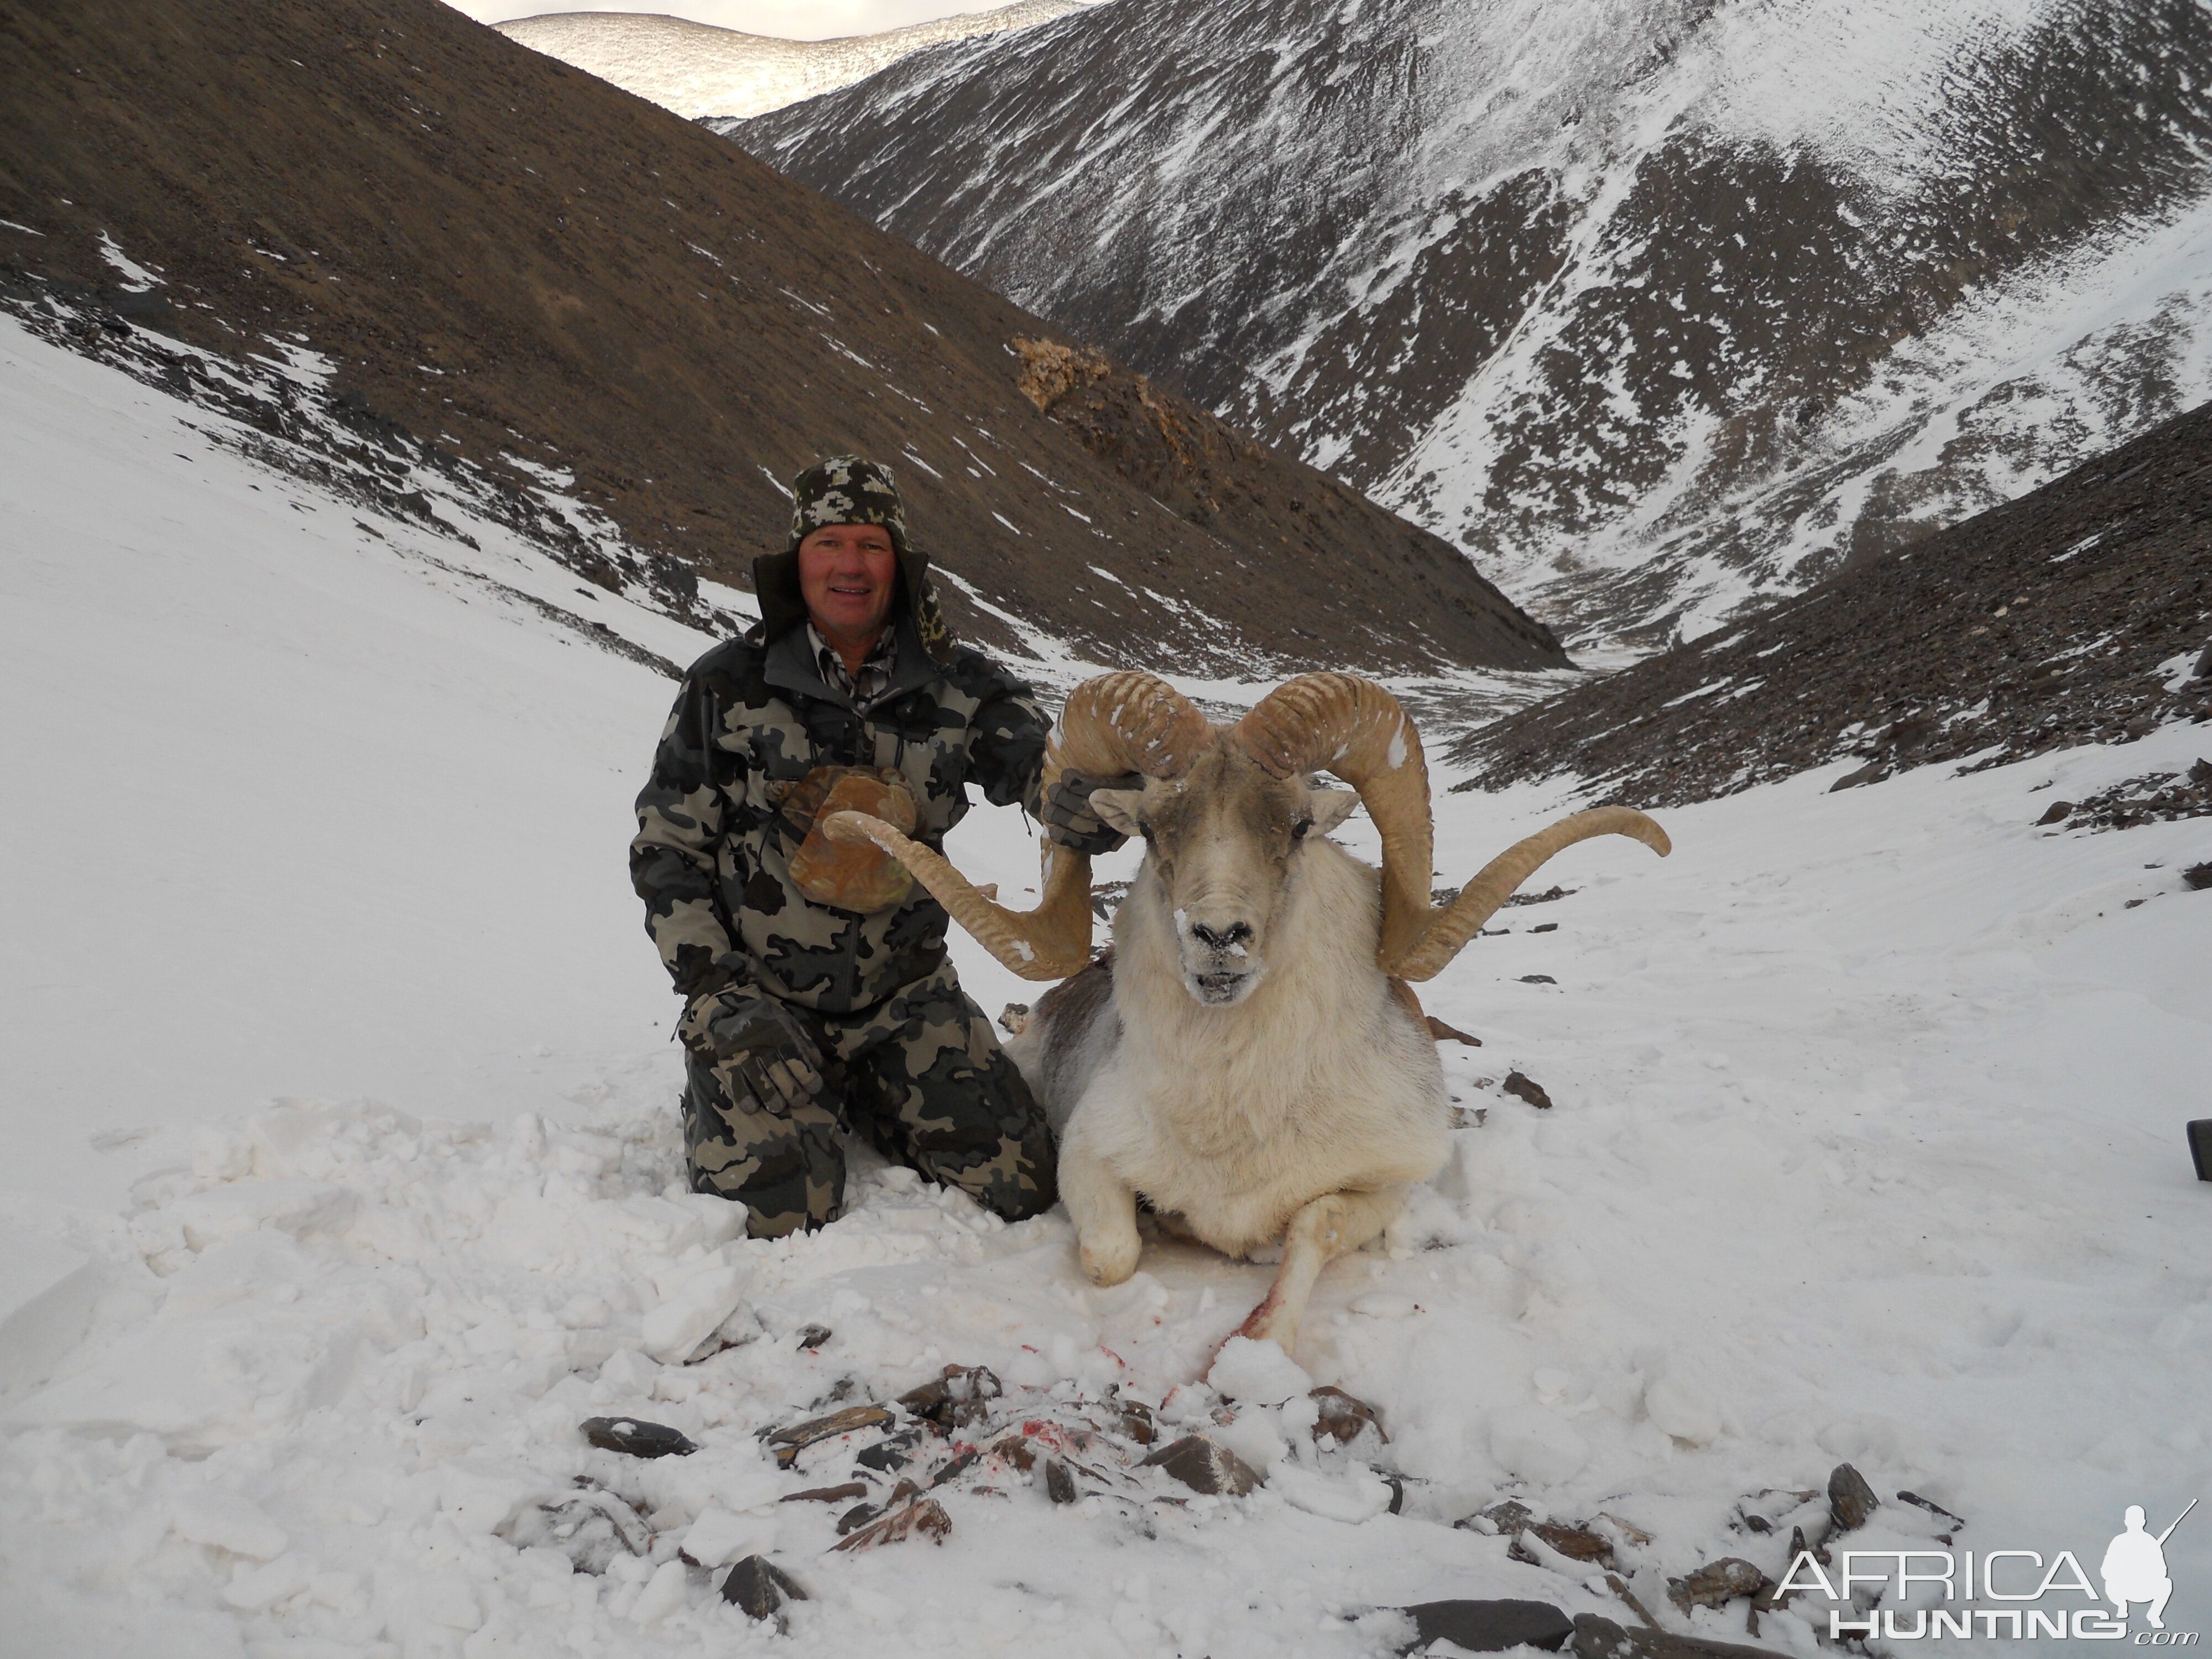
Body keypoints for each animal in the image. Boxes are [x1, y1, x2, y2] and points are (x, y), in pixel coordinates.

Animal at [823, 677, 1663, 1363]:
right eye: (1153, 829)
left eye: (1295, 826)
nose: (1219, 938)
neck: (1236, 1112)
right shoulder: (1087, 1160)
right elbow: (1112, 1256)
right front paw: (1171, 1228)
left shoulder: (1391, 1183)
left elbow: (1311, 1227)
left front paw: (1259, 1342)